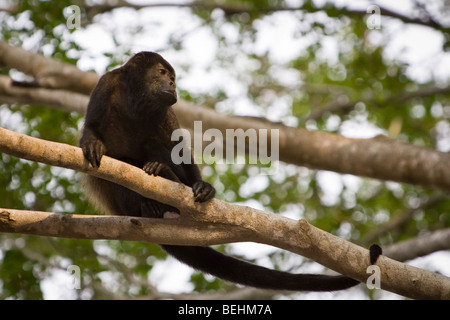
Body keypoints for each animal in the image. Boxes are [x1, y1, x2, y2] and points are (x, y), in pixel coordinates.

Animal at [81, 52, 362, 292]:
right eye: (161, 72)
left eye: (173, 77)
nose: (171, 82)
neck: (135, 100)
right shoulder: (106, 84)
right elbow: (92, 128)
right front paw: (92, 143)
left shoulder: (166, 109)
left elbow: (180, 150)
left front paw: (203, 186)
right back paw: (150, 205)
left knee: (156, 145)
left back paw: (164, 174)